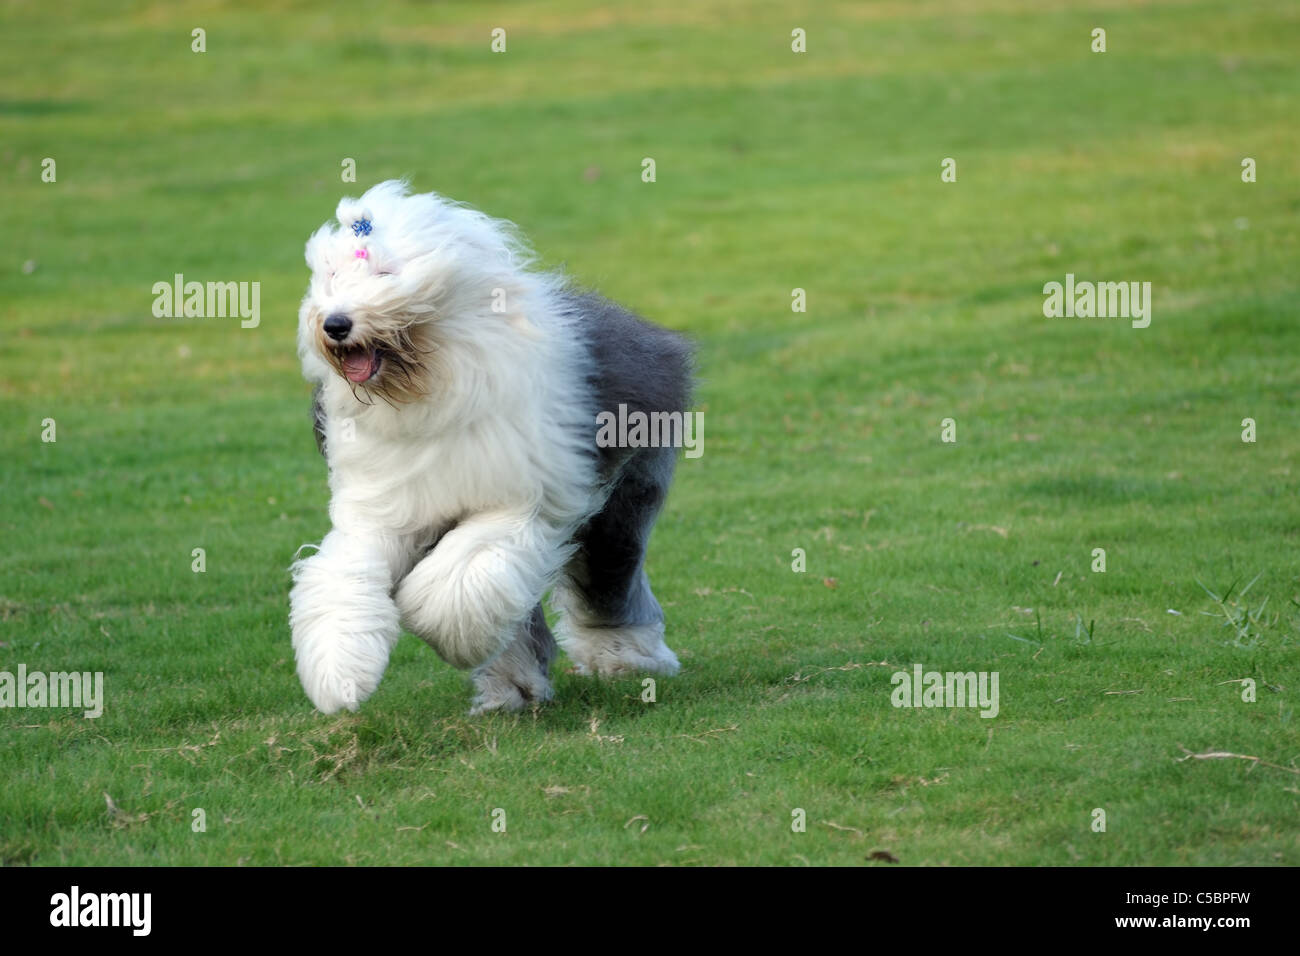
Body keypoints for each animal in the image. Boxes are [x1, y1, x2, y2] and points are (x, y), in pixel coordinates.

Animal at [289, 183, 696, 712]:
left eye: (384, 272)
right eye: (332, 276)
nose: (335, 324)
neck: (431, 391)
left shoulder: (516, 506)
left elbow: (458, 582)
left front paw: (429, 619)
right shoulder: (384, 509)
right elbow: (344, 574)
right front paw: (338, 671)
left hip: (623, 495)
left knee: (609, 572)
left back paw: (626, 656)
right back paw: (512, 688)